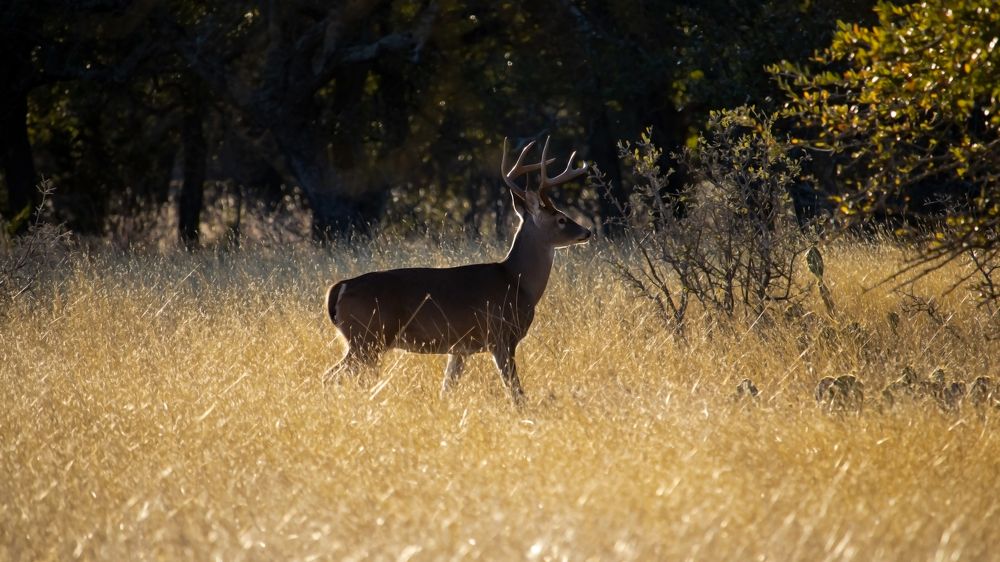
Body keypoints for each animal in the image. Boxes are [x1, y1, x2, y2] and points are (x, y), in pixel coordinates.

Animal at [323, 137, 592, 403]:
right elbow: (516, 391)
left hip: (364, 341)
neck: (517, 281)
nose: (587, 232)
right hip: (368, 337)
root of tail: (339, 288)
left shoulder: (460, 348)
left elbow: (447, 388)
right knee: (330, 375)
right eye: (561, 219)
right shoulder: (501, 336)